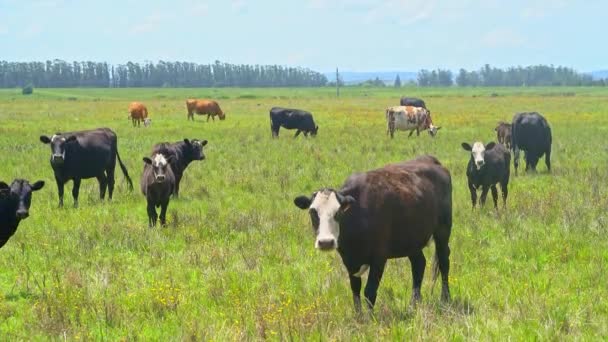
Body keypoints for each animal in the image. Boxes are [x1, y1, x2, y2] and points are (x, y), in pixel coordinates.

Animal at [292, 156, 454, 312]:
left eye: (338, 212)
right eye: (312, 212)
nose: (326, 242)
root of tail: (431, 159)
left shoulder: (379, 257)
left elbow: (369, 291)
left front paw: (371, 318)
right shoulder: (349, 260)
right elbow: (355, 290)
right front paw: (359, 317)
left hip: (443, 231)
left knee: (444, 262)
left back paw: (445, 299)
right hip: (411, 239)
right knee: (419, 264)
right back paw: (413, 304)